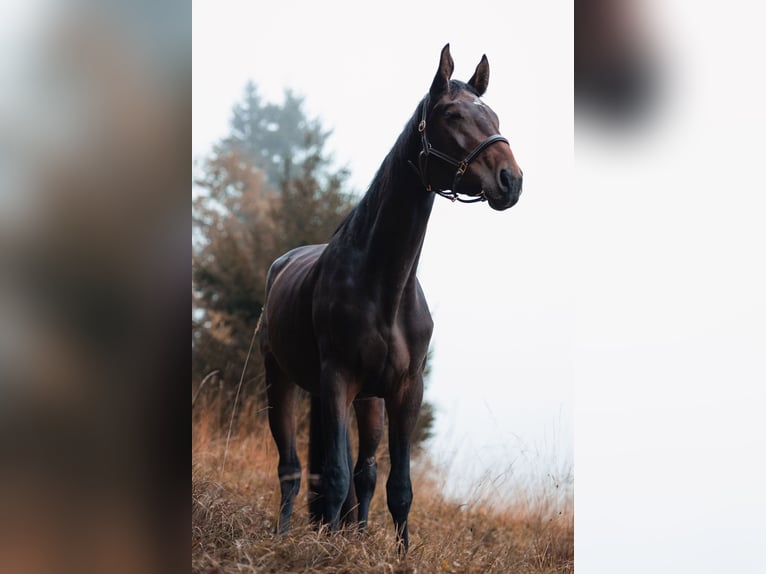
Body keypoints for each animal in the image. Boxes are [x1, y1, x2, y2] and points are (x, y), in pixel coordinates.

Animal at [259, 44, 523, 553]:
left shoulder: (405, 390)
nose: (511, 180)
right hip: (281, 381)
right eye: (452, 114)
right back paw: (283, 537)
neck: (384, 283)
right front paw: (328, 552)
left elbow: (396, 486)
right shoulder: (336, 380)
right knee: (293, 469)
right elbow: (335, 476)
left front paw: (393, 553)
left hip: (369, 402)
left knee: (364, 474)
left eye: (494, 115)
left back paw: (354, 535)